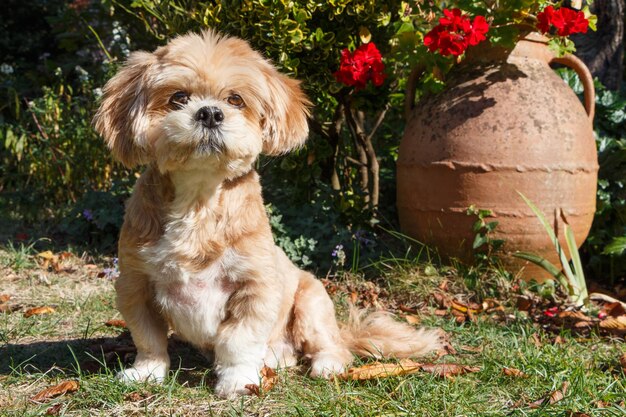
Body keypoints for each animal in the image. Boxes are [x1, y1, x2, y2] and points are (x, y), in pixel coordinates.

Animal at [92, 30, 442, 396]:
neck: (198, 203)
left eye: (235, 99)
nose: (210, 113)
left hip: (311, 302)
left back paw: (326, 364)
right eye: (178, 97)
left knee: (331, 345)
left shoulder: (254, 287)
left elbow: (237, 340)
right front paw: (146, 372)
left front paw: (237, 380)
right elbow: (149, 338)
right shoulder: (136, 284)